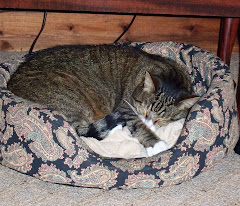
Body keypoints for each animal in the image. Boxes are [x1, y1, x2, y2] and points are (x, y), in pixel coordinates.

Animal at [7, 44, 199, 148]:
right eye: (144, 111)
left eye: (161, 120)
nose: (149, 122)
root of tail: (10, 84)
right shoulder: (125, 106)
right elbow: (137, 125)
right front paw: (156, 144)